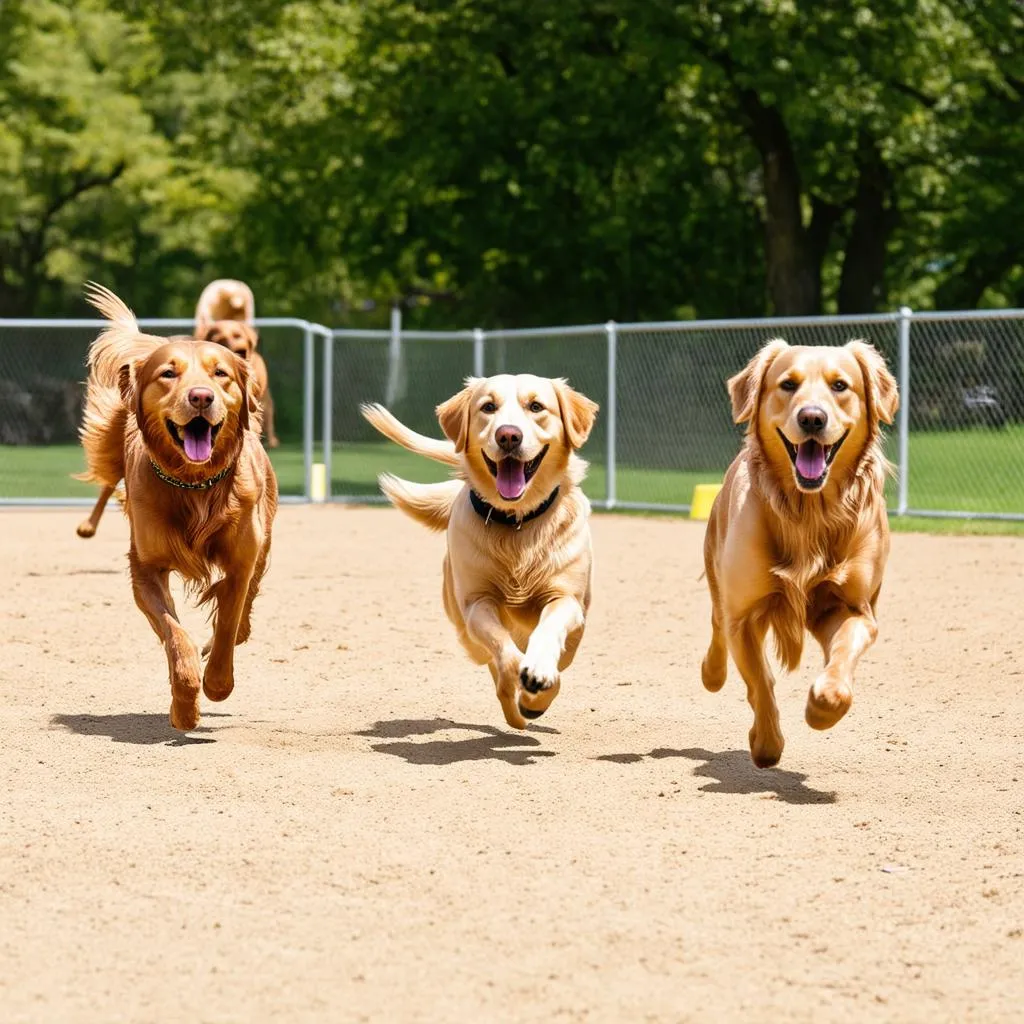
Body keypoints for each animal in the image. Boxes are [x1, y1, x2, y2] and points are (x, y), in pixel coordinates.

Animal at [362, 376, 598, 729]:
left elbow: (547, 631)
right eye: (488, 407)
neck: (517, 523)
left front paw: (539, 675)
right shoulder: (477, 604)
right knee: (490, 662)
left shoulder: (566, 598)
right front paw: (524, 687)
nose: (508, 435)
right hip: (464, 629)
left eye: (536, 406)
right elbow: (505, 653)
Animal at [704, 339, 897, 765]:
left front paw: (822, 707)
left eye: (840, 385)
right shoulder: (745, 613)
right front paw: (766, 744)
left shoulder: (852, 607)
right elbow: (761, 681)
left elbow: (841, 659)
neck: (810, 512)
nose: (812, 418)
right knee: (717, 627)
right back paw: (712, 673)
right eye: (788, 384)